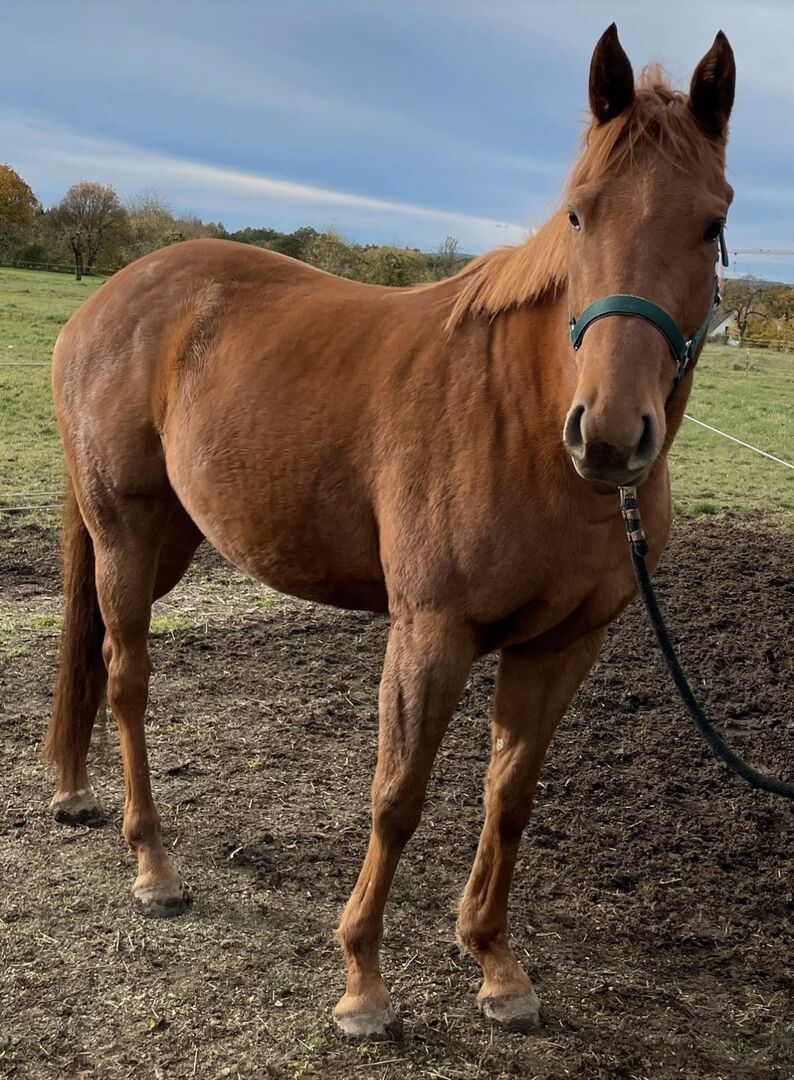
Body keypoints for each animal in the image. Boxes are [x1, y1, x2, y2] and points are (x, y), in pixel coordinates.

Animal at [45, 24, 735, 1037]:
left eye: (712, 224)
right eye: (578, 215)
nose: (609, 436)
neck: (527, 422)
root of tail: (111, 298)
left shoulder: (563, 645)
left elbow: (510, 795)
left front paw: (495, 964)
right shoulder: (430, 633)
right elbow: (398, 797)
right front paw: (363, 981)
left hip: (165, 540)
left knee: (98, 660)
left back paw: (76, 793)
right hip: (127, 537)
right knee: (128, 679)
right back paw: (155, 866)